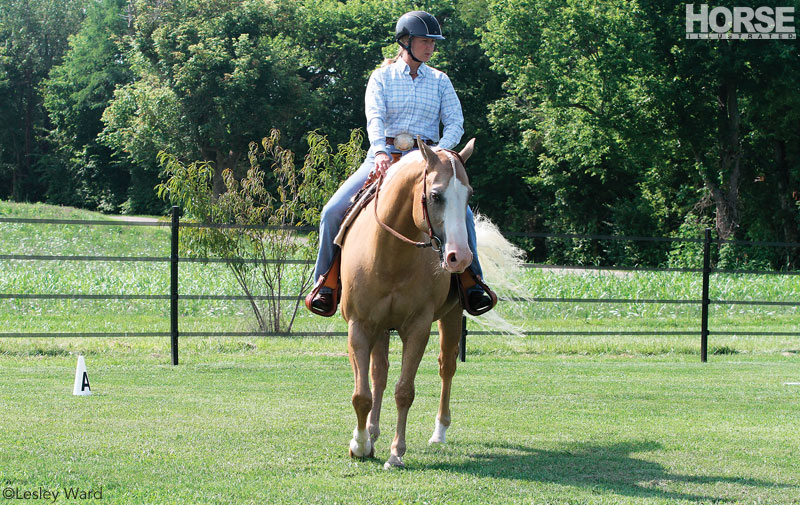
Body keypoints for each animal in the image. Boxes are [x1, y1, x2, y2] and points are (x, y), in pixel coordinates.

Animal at [338, 136, 476, 466]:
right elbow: (362, 394)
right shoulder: (360, 326)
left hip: (452, 316)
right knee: (379, 374)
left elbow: (404, 391)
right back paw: (372, 432)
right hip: (379, 328)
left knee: (446, 367)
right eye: (435, 195)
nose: (460, 257)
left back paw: (439, 432)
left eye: (468, 195)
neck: (390, 256)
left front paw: (396, 453)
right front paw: (360, 444)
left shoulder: (418, 328)